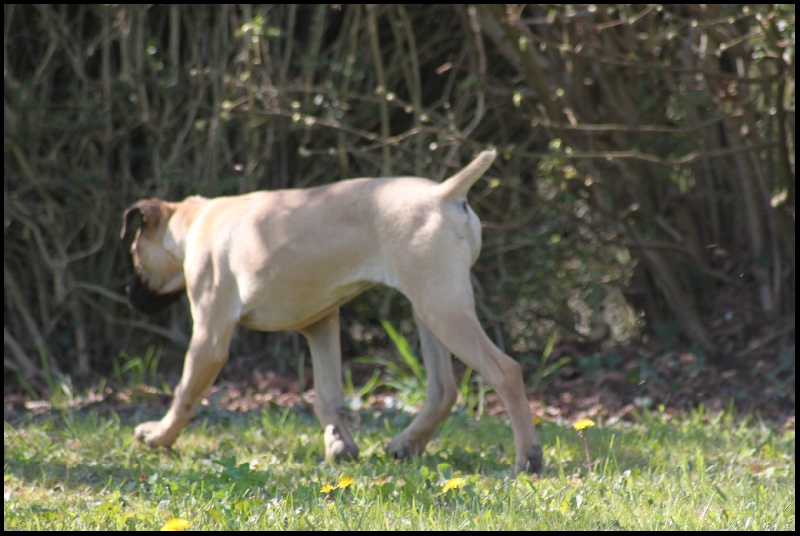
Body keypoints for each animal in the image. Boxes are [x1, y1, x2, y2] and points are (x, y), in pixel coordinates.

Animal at [120, 150, 544, 474]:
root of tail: (444, 194)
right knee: (443, 390)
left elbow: (185, 394)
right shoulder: (320, 324)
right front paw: (339, 446)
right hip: (429, 309)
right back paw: (405, 444)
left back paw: (528, 458)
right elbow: (325, 396)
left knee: (505, 371)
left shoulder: (209, 337)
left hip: (443, 308)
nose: (129, 297)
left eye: (134, 254)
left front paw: (159, 435)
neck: (193, 222)